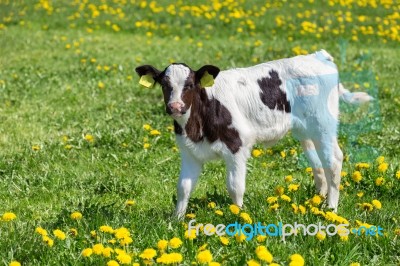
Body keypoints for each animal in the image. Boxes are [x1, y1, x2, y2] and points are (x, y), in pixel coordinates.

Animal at [135, 50, 372, 218]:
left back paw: (331, 209)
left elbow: (235, 186)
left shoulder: (237, 146)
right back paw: (317, 201)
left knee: (333, 160)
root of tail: (317, 56)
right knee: (317, 163)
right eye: (164, 85)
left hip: (323, 124)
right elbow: (183, 187)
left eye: (190, 85)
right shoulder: (189, 151)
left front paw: (238, 215)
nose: (175, 106)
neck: (196, 124)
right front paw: (177, 219)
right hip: (305, 129)